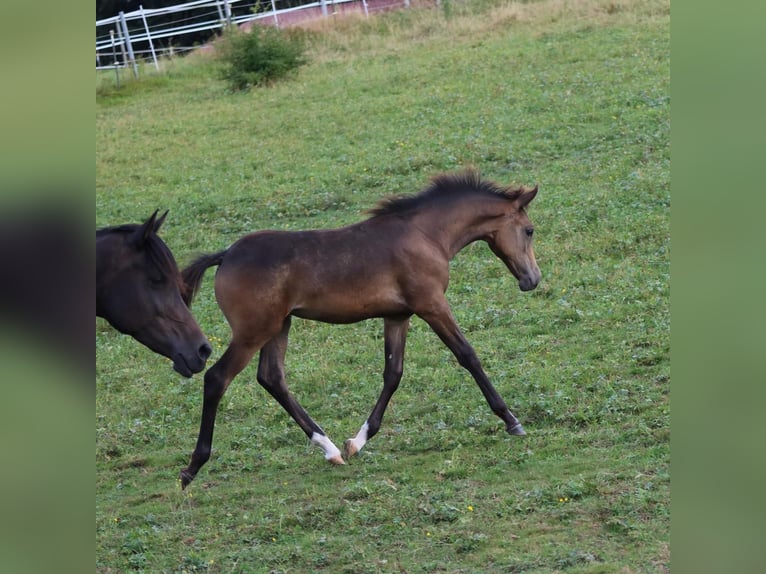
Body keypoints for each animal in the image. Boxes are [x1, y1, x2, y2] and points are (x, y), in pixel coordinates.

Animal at [182, 170, 540, 486]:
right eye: (530, 230)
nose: (532, 279)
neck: (425, 234)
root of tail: (227, 255)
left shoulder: (398, 316)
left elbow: (393, 373)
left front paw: (358, 441)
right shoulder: (432, 305)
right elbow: (467, 355)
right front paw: (511, 420)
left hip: (278, 326)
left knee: (271, 378)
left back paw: (330, 449)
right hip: (254, 331)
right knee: (217, 378)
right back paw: (193, 467)